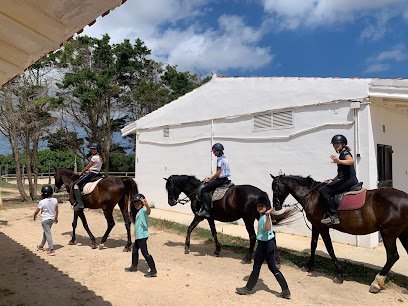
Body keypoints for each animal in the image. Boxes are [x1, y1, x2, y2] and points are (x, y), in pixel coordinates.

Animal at [163, 175, 294, 262]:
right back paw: (276, 259)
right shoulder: (209, 218)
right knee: (272, 233)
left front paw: (187, 247)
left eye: (170, 187)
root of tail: (261, 193)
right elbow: (214, 232)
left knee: (252, 236)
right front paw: (217, 250)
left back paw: (247, 258)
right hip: (260, 215)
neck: (197, 192)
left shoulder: (199, 216)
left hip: (248, 218)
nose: (170, 202)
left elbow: (189, 229)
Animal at [270, 173, 408, 292]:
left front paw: (339, 274)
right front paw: (309, 266)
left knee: (393, 256)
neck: (312, 195)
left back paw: (376, 282)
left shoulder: (322, 227)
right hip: (402, 234)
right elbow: (313, 245)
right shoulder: (316, 226)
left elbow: (329, 248)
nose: (276, 206)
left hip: (388, 233)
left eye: (275, 187)